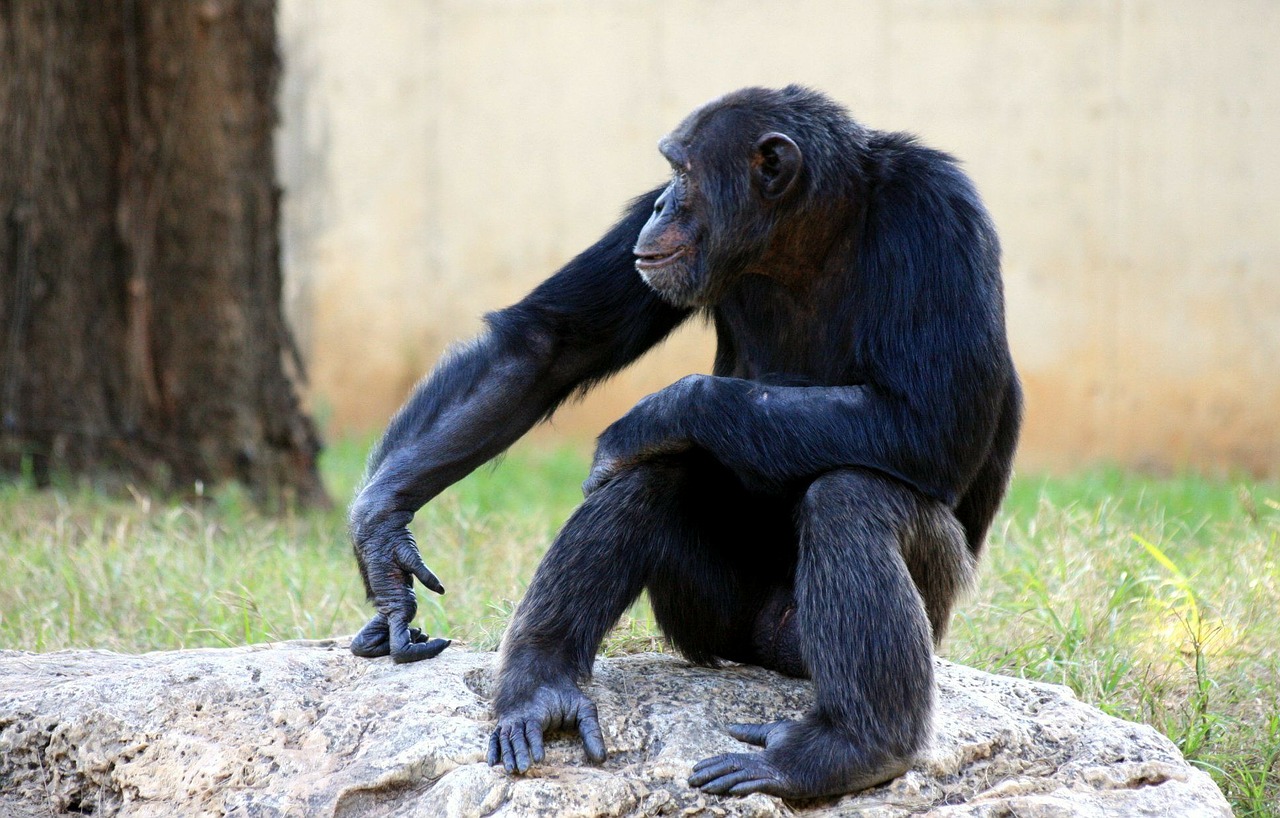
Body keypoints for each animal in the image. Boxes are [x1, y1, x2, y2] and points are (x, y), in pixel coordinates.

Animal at [345, 84, 1024, 798]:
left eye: (684, 174)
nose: (663, 204)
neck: (807, 236)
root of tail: (761, 651)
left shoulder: (940, 212)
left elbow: (929, 423)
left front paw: (654, 412)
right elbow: (545, 344)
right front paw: (383, 539)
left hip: (885, 620)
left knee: (852, 496)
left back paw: (846, 748)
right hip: (711, 621)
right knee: (653, 475)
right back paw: (541, 687)